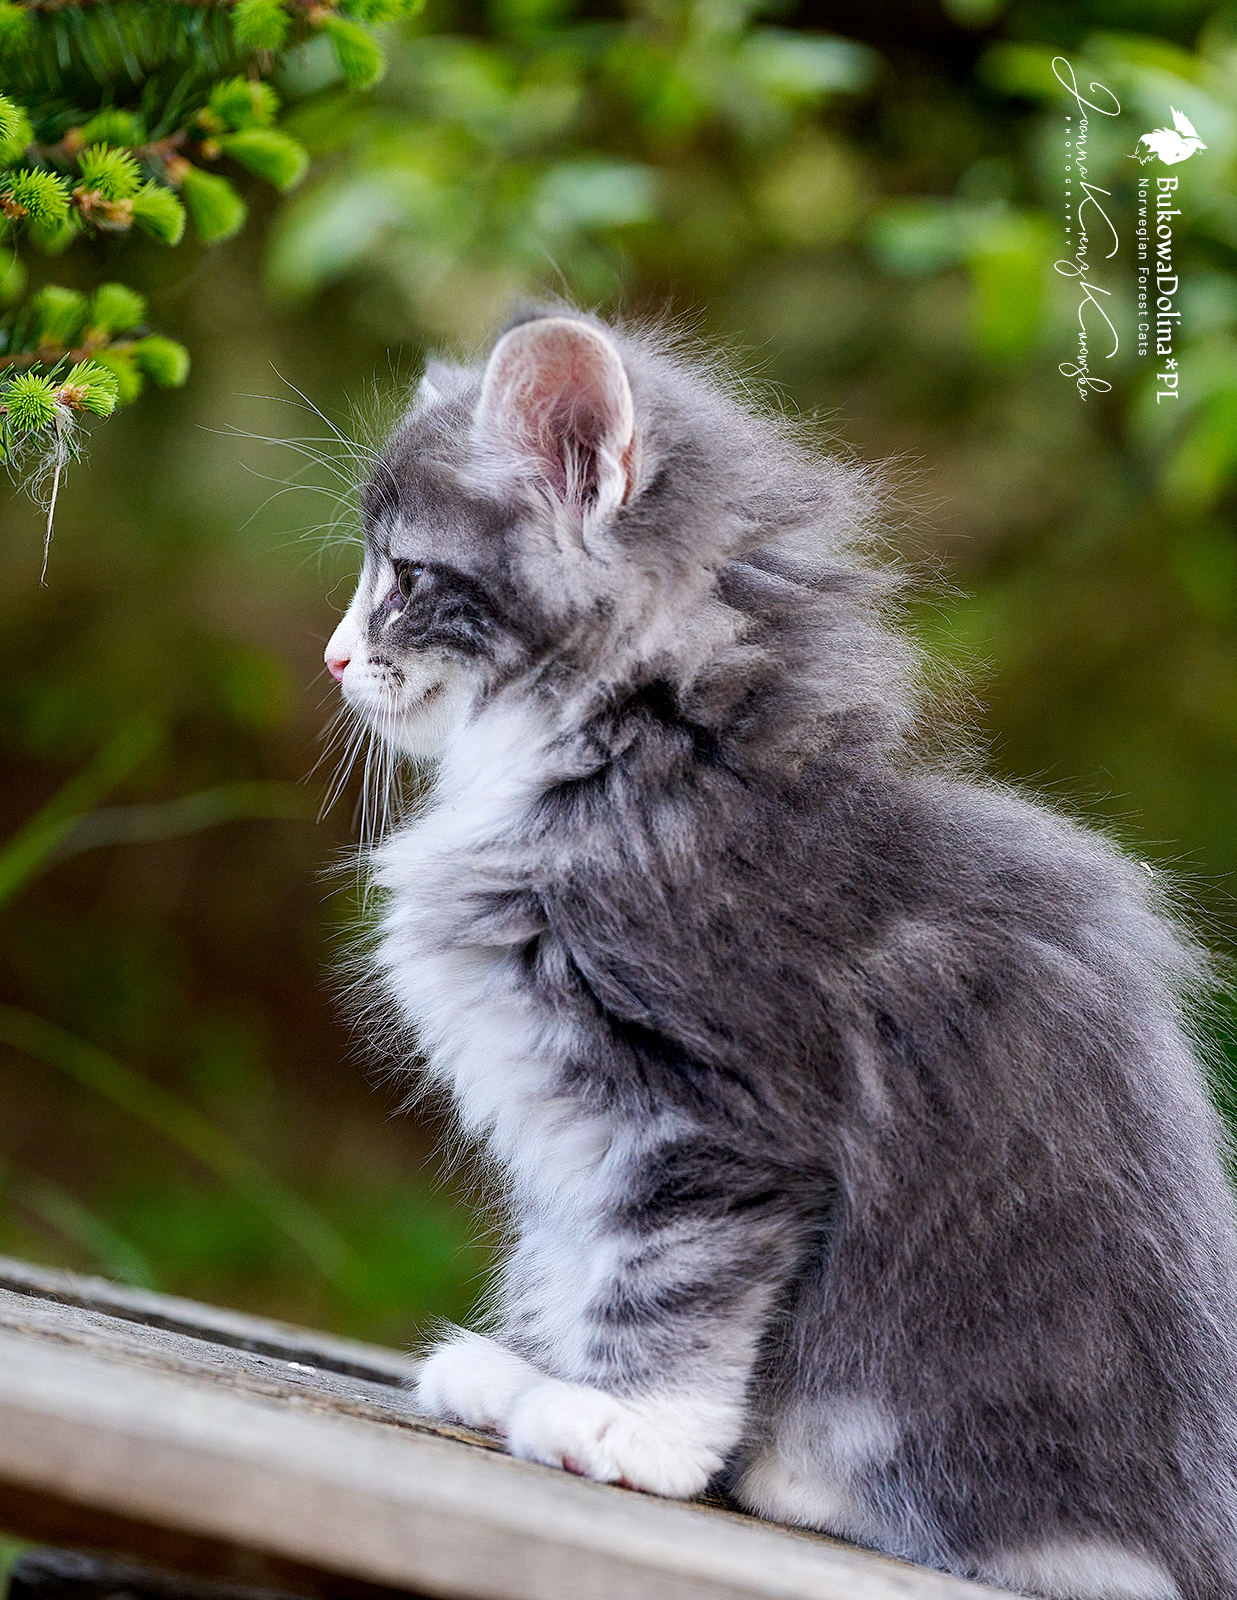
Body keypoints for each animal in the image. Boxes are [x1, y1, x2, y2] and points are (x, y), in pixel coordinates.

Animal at [324, 309, 1237, 1600]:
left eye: (404, 580)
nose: (332, 658)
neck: (629, 762)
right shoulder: (571, 1132)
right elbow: (571, 1254)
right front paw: (529, 1369)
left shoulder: (715, 1119)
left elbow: (671, 1284)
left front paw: (628, 1427)